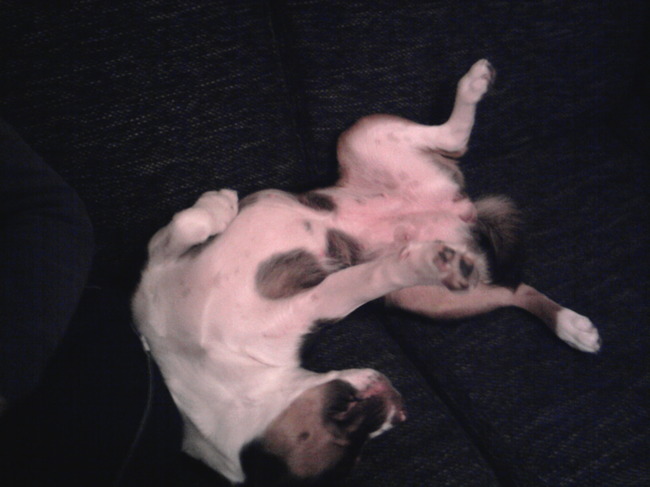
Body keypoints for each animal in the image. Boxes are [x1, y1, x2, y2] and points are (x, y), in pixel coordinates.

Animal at [132, 60, 600, 485]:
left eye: (343, 413)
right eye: (357, 439)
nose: (401, 407)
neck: (214, 366)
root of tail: (458, 210)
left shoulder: (153, 276)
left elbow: (183, 225)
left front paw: (216, 206)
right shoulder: (318, 299)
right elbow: (378, 274)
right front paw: (426, 261)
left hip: (362, 136)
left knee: (451, 139)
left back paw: (473, 84)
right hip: (434, 299)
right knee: (512, 289)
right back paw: (567, 323)